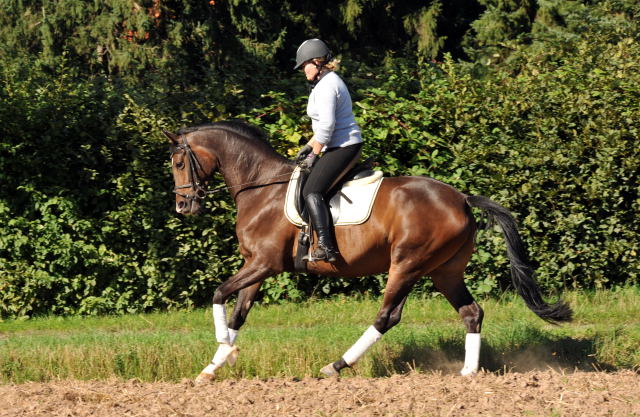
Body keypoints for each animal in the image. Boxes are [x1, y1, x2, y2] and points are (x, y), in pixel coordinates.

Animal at [162, 118, 572, 382]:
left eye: (179, 162)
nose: (184, 206)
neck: (260, 188)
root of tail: (461, 198)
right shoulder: (257, 267)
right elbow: (238, 313)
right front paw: (213, 366)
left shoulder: (264, 264)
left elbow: (219, 294)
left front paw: (222, 351)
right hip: (445, 271)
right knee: (471, 313)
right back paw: (468, 373)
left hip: (407, 265)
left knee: (387, 316)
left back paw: (336, 365)